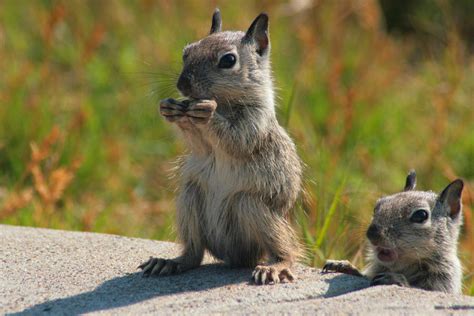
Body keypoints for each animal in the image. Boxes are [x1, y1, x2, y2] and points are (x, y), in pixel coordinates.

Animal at [139, 8, 302, 286]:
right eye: (186, 51)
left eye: (228, 60)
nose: (183, 85)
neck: (224, 102)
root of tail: (232, 257)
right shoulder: (202, 145)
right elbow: (200, 146)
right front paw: (170, 108)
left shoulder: (254, 123)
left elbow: (237, 140)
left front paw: (207, 113)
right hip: (189, 199)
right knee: (194, 254)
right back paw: (170, 262)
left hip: (253, 208)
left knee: (285, 249)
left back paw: (274, 267)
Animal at [322, 170, 462, 294]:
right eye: (376, 207)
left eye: (420, 215)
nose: (372, 234)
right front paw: (344, 266)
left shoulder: (443, 280)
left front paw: (394, 278)